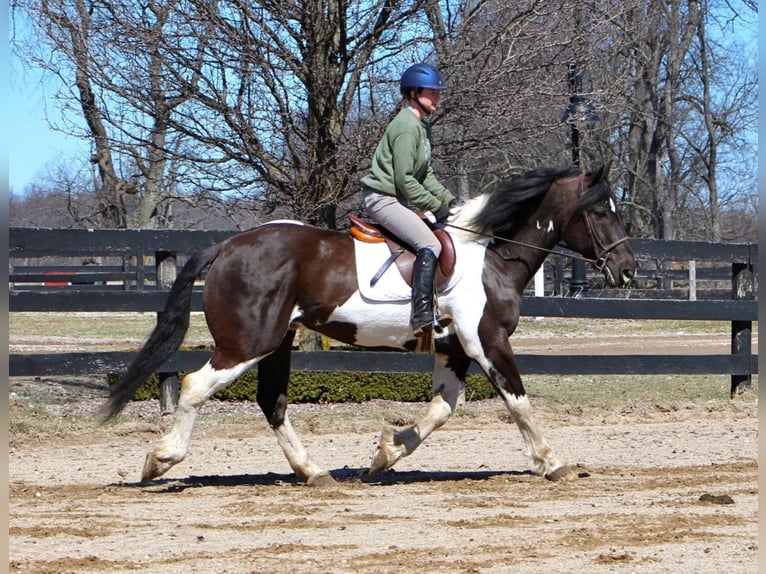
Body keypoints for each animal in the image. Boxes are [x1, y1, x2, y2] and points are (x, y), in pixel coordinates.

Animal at [105, 164, 640, 488]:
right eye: (599, 210)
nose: (628, 269)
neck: (491, 256)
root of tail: (227, 245)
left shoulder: (453, 348)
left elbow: (443, 409)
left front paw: (387, 452)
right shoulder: (487, 342)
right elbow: (519, 402)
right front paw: (552, 462)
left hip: (278, 343)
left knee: (272, 401)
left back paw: (313, 472)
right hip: (248, 342)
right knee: (195, 386)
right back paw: (160, 460)